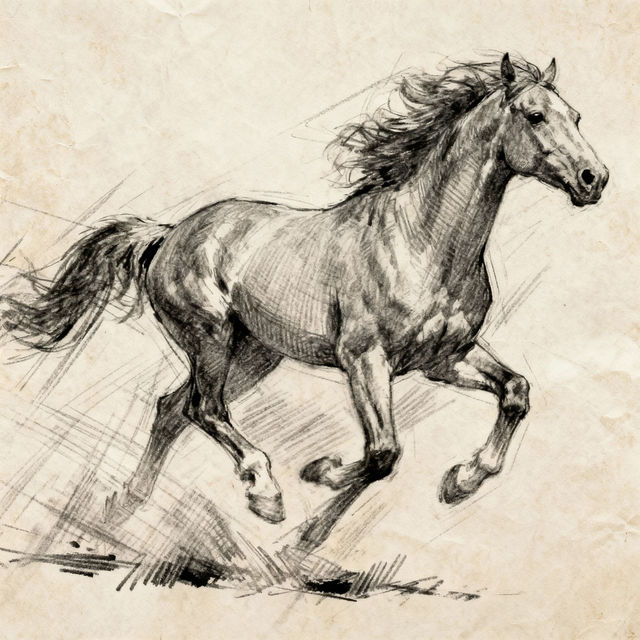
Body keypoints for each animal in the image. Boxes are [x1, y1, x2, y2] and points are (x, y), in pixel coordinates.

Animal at [1, 54, 608, 525]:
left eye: (576, 116)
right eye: (534, 115)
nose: (593, 179)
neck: (423, 243)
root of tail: (168, 235)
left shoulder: (444, 358)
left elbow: (516, 392)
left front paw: (462, 479)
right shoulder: (364, 358)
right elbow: (384, 452)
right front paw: (322, 471)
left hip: (254, 352)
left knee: (174, 407)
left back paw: (127, 503)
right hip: (212, 337)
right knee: (203, 408)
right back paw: (264, 493)